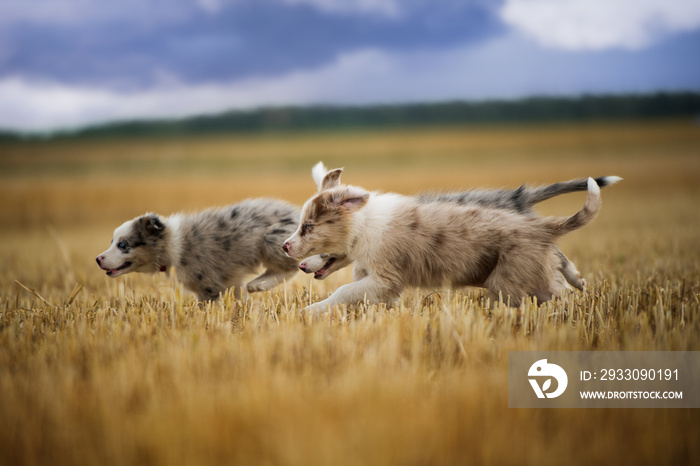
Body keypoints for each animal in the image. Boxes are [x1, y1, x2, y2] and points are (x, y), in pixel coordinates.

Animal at [95, 198, 298, 300]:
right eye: (112, 241)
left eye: (123, 245)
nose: (98, 259)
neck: (172, 242)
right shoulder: (231, 282)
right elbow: (239, 299)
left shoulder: (209, 285)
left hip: (272, 239)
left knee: (291, 268)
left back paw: (259, 284)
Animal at [284, 165, 612, 314]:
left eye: (308, 226)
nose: (287, 248)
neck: (363, 224)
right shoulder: (378, 281)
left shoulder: (385, 278)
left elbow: (342, 292)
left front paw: (307, 312)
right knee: (557, 276)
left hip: (513, 281)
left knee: (556, 284)